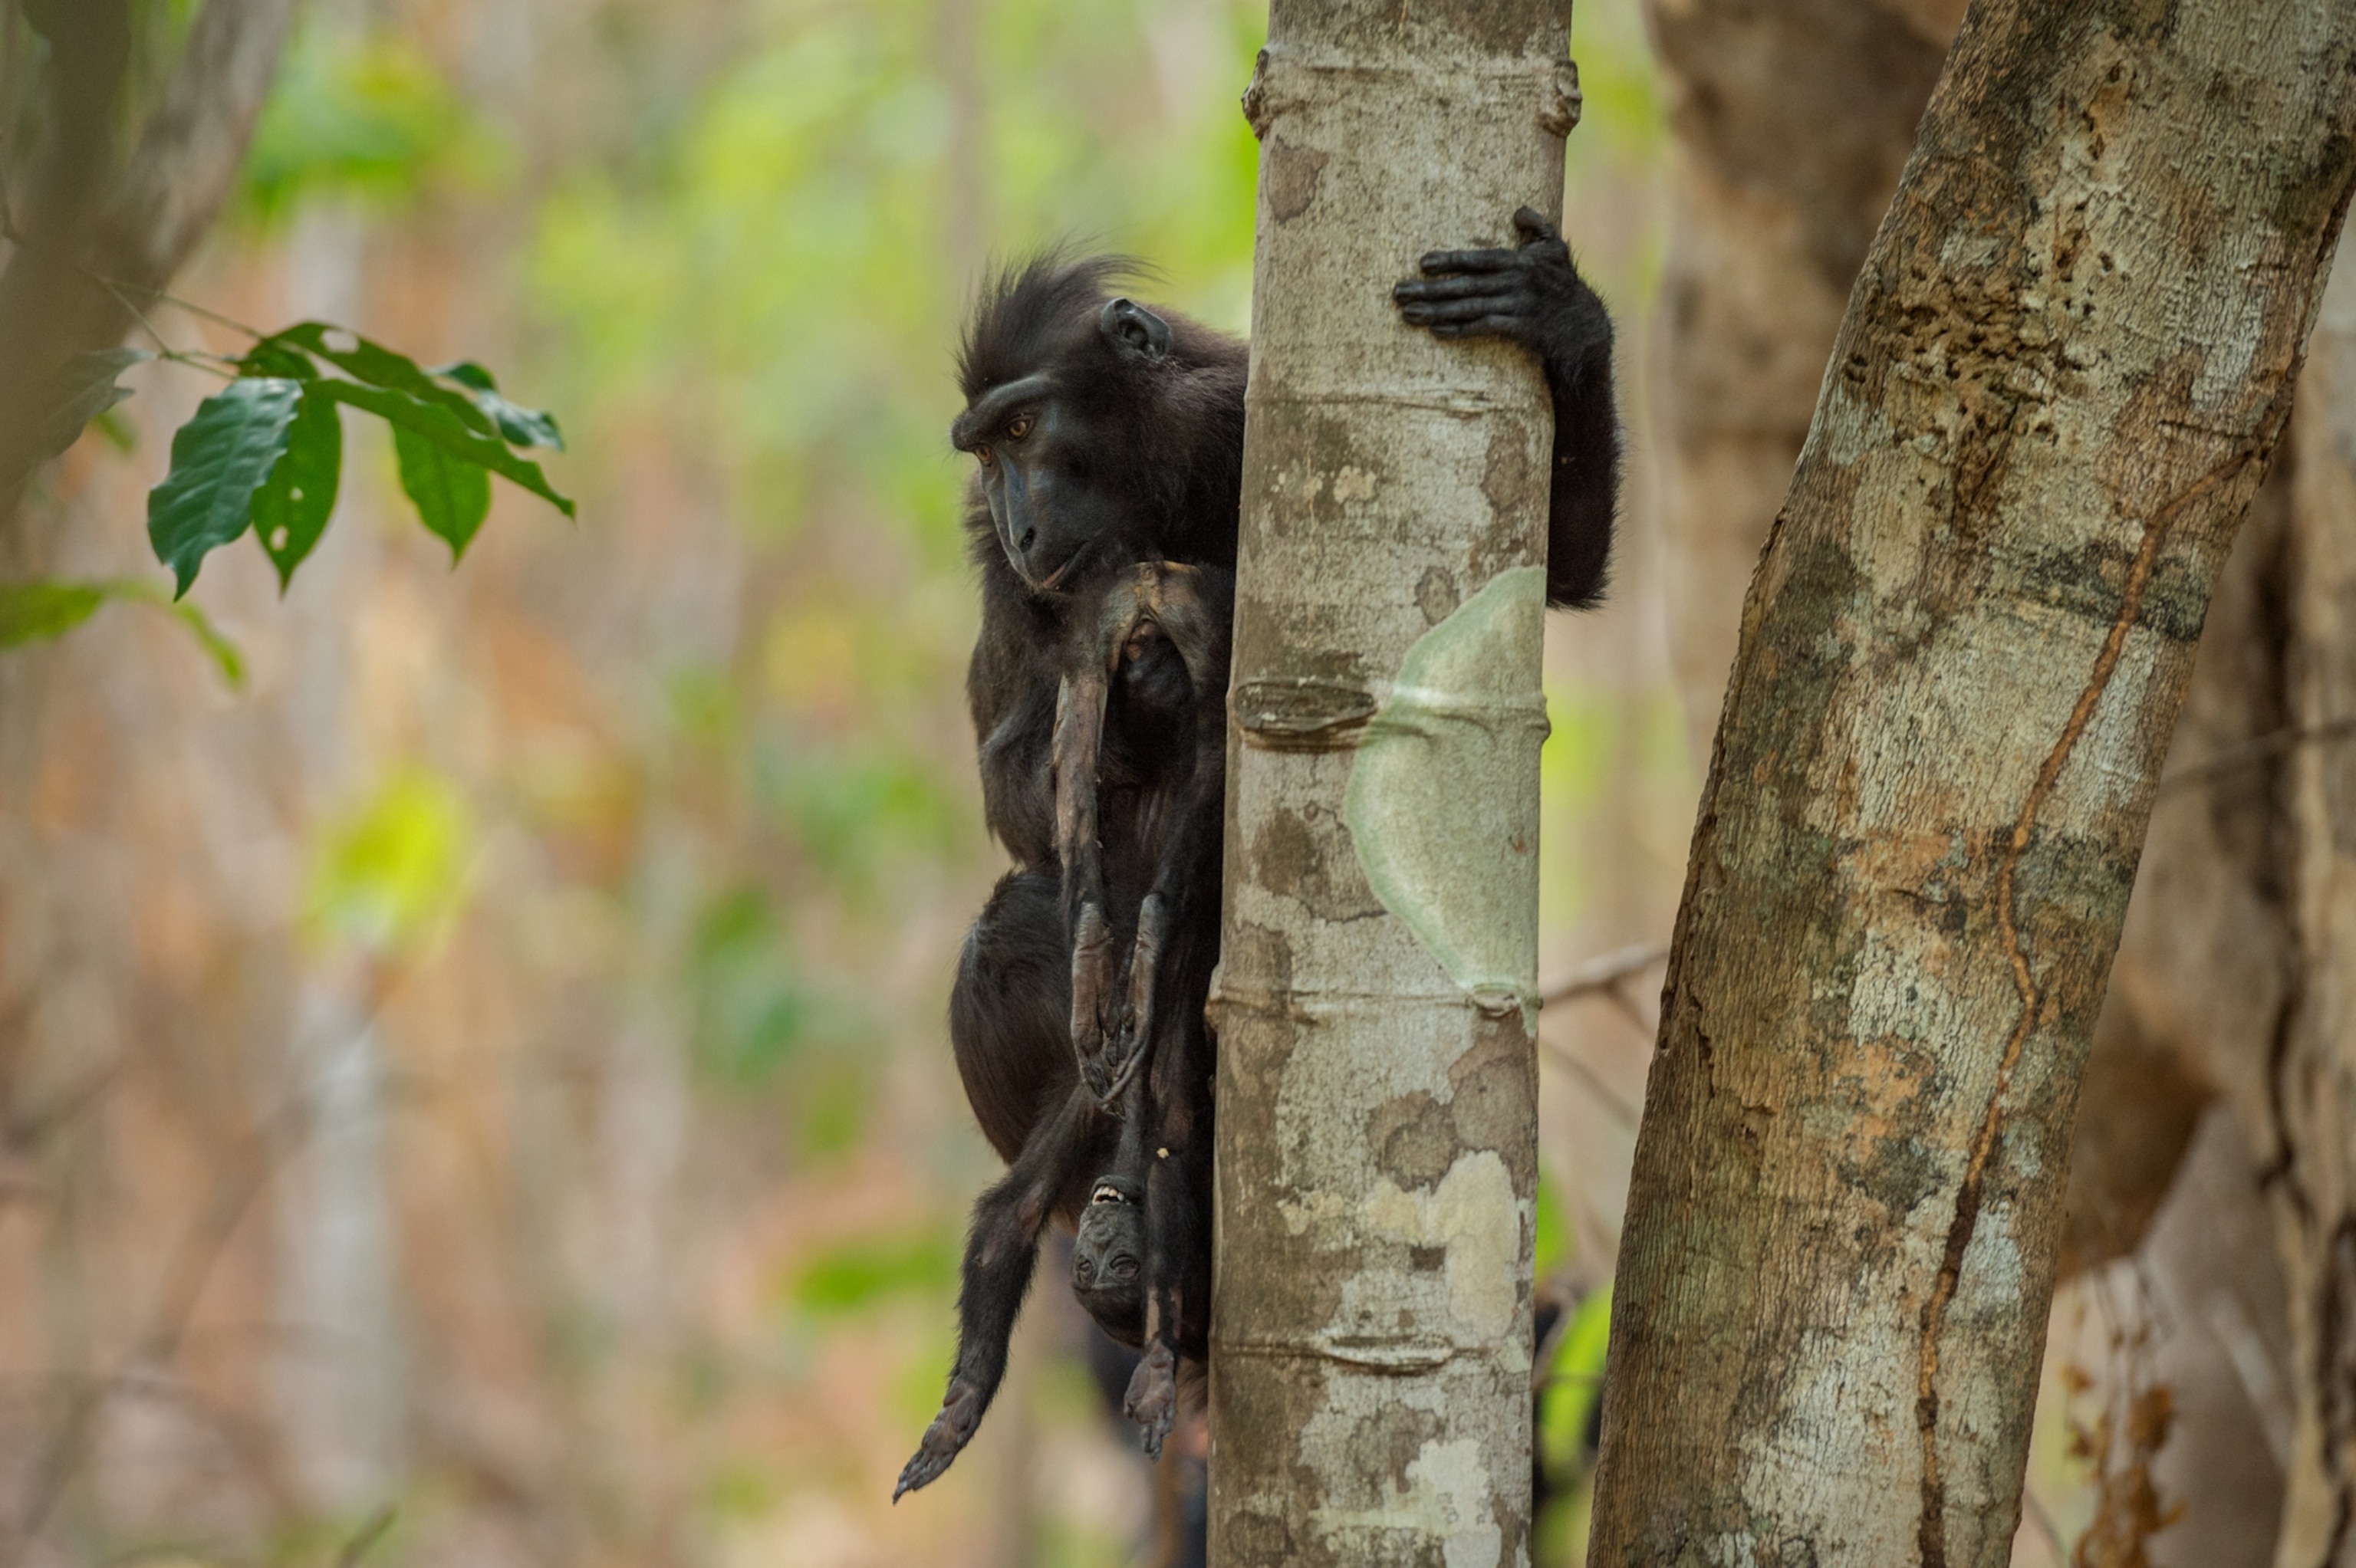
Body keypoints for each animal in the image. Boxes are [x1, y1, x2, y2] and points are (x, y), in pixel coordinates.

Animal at [897, 204, 1621, 1498]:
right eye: (984, 455)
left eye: (1026, 428)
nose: (1021, 519)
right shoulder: (1008, 571)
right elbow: (1011, 781)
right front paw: (1133, 709)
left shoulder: (1244, 417)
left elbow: (1560, 572)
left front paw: (1561, 316)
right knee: (1019, 938)